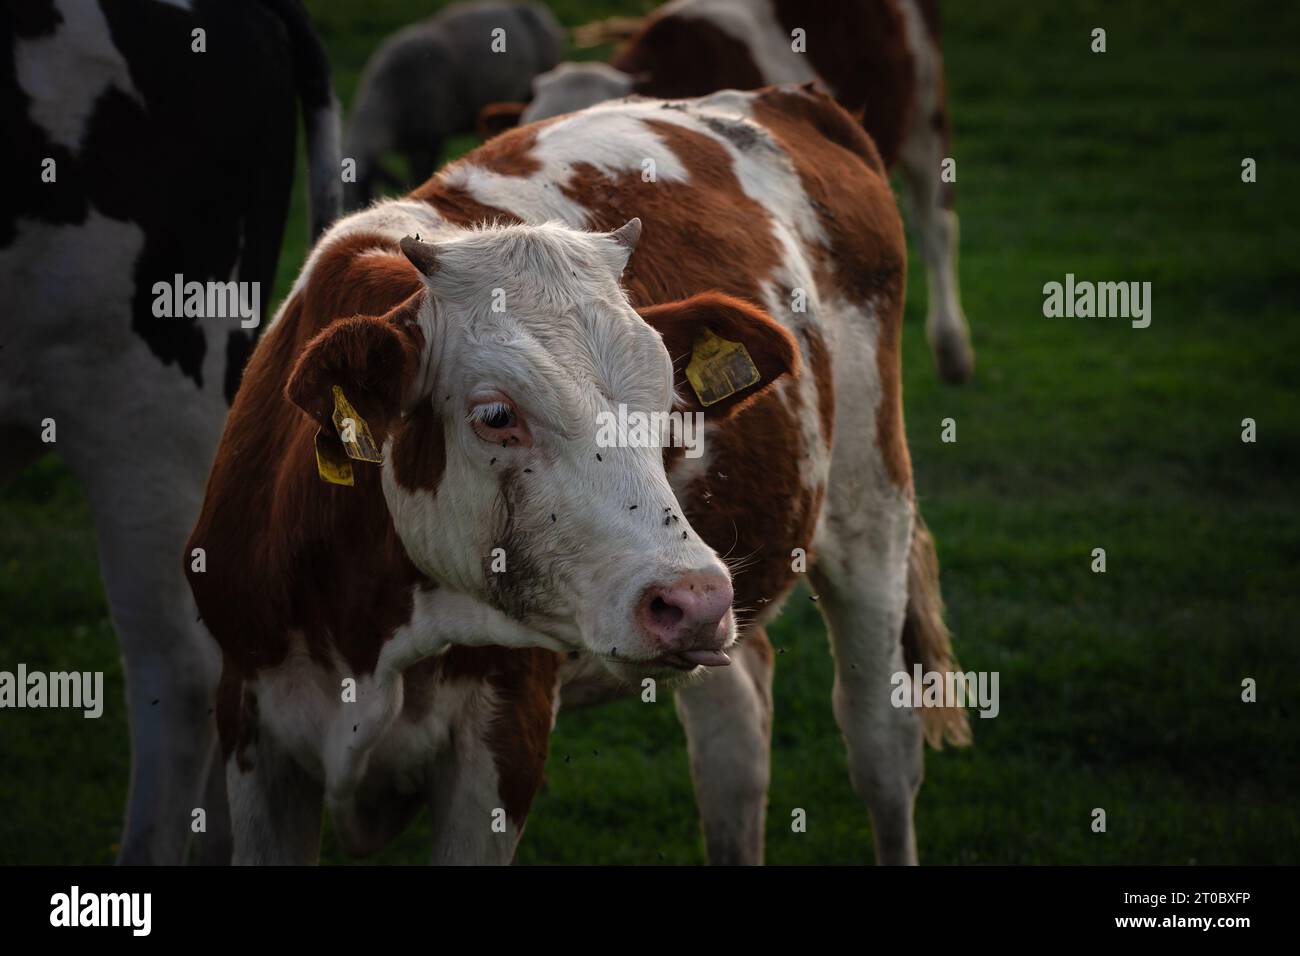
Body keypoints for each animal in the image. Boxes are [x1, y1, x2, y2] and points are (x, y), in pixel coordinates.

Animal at [188, 87, 972, 868]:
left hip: (870, 508)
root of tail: (781, 99)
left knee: (881, 743)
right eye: (496, 414)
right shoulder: (252, 726)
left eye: (669, 404)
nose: (694, 600)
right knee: (735, 738)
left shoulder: (503, 742)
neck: (368, 633)